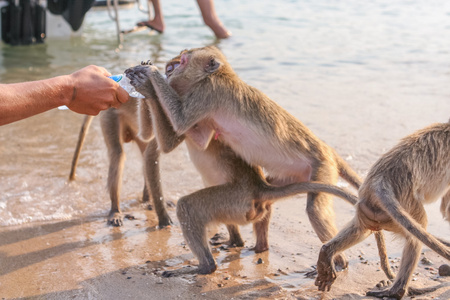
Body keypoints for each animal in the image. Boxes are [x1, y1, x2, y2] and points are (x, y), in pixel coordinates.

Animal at [69, 97, 172, 226]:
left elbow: (149, 156)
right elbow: (151, 156)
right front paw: (164, 219)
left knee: (143, 153)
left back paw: (147, 200)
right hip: (110, 112)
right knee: (117, 153)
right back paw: (115, 210)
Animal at [125, 55, 392, 278]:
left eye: (181, 60)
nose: (169, 66)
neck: (223, 76)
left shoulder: (206, 94)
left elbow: (177, 128)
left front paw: (147, 82)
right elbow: (163, 138)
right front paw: (143, 81)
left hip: (284, 182)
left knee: (189, 206)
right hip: (276, 185)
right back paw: (253, 245)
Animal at [314, 120, 450, 298]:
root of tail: (380, 181)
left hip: (371, 210)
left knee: (362, 229)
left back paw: (327, 252)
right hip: (406, 205)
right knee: (416, 233)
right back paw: (397, 291)